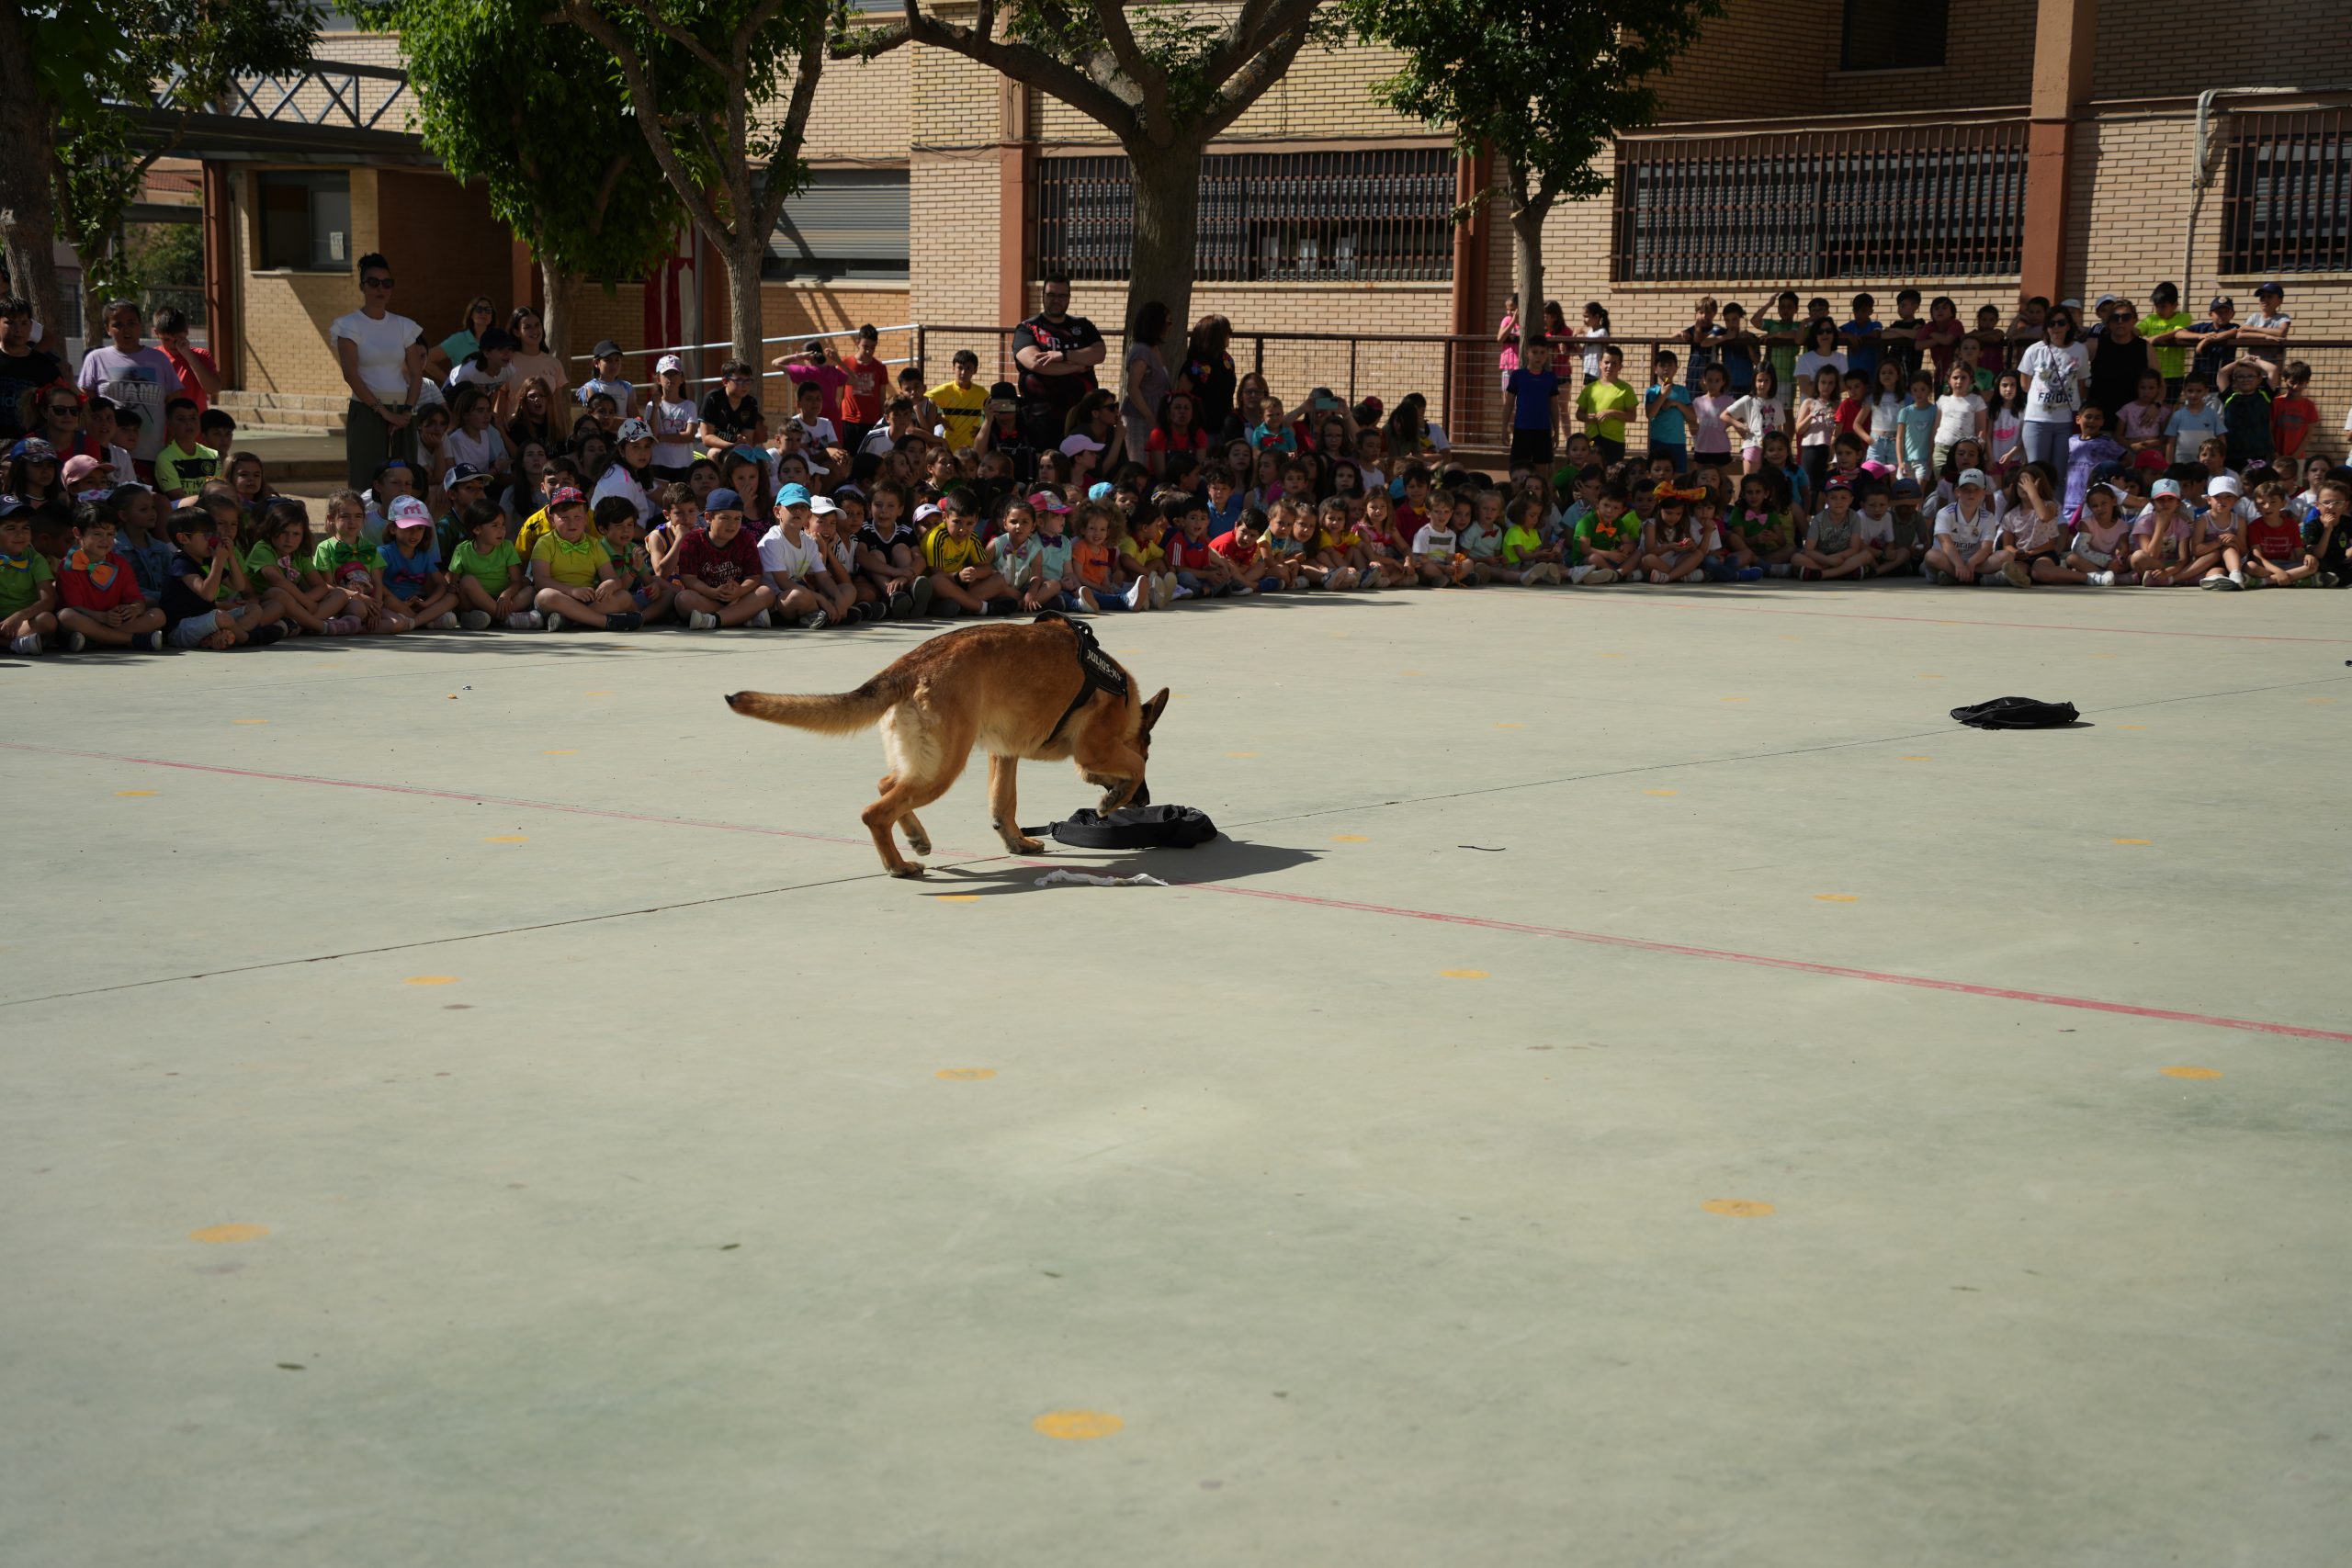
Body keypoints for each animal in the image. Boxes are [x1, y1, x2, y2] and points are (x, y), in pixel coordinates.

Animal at [725, 614, 1168, 878]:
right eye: (1149, 749)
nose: (1146, 803)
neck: (1123, 699)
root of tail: (910, 664)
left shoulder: (1003, 755)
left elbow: (1003, 804)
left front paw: (1016, 841)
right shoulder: (1092, 749)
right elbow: (1132, 767)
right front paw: (1112, 797)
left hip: (929, 762)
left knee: (887, 786)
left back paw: (915, 838)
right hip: (943, 767)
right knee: (876, 811)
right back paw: (898, 865)